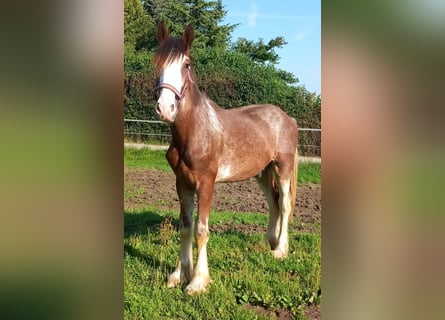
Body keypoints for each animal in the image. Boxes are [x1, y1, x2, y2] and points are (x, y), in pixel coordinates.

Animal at [153, 20, 298, 296]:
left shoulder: (206, 183)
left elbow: (201, 230)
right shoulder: (182, 183)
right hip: (263, 173)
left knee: (284, 204)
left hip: (283, 167)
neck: (195, 130)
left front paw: (198, 281)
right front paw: (179, 274)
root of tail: (288, 117)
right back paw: (268, 242)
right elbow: (185, 227)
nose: (166, 109)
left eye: (186, 64)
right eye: (156, 62)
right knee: (273, 202)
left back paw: (280, 250)